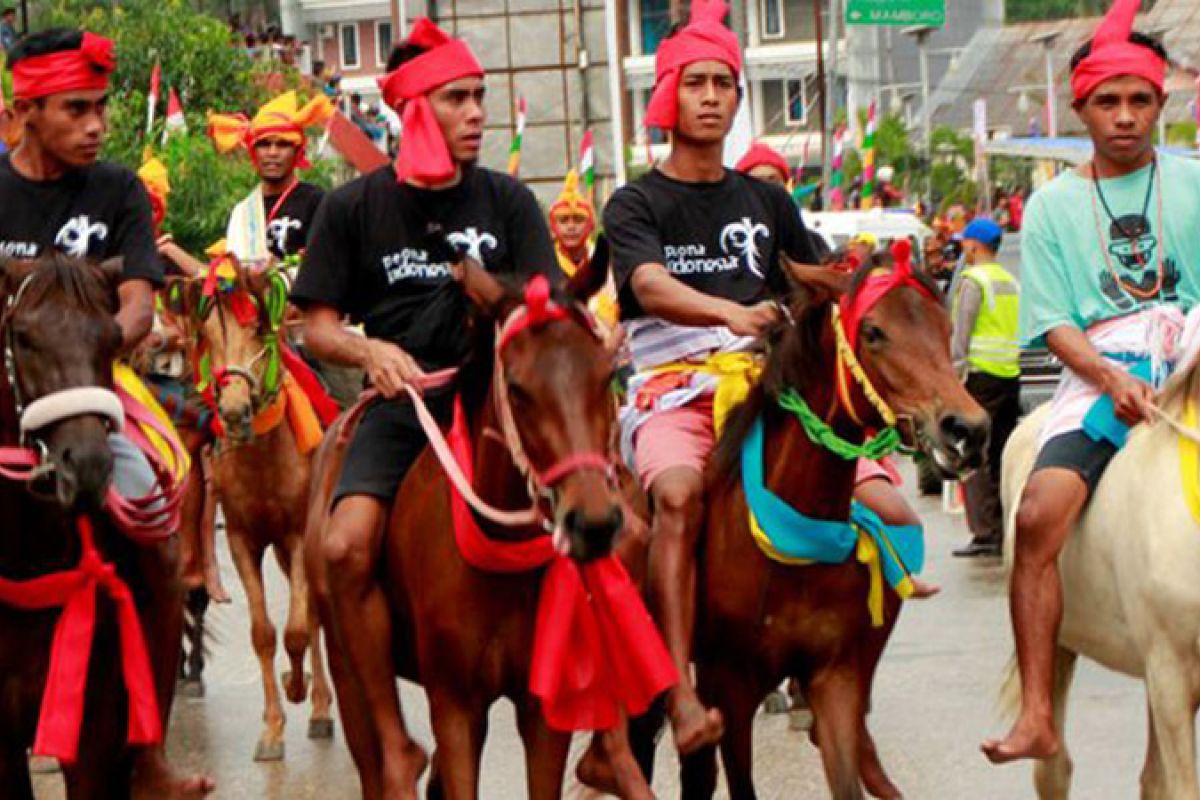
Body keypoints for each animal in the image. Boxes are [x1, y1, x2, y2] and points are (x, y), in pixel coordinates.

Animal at [686, 263, 984, 800]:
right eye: (874, 332)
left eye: (945, 326)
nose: (967, 430)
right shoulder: (729, 687)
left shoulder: (835, 676)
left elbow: (845, 775)